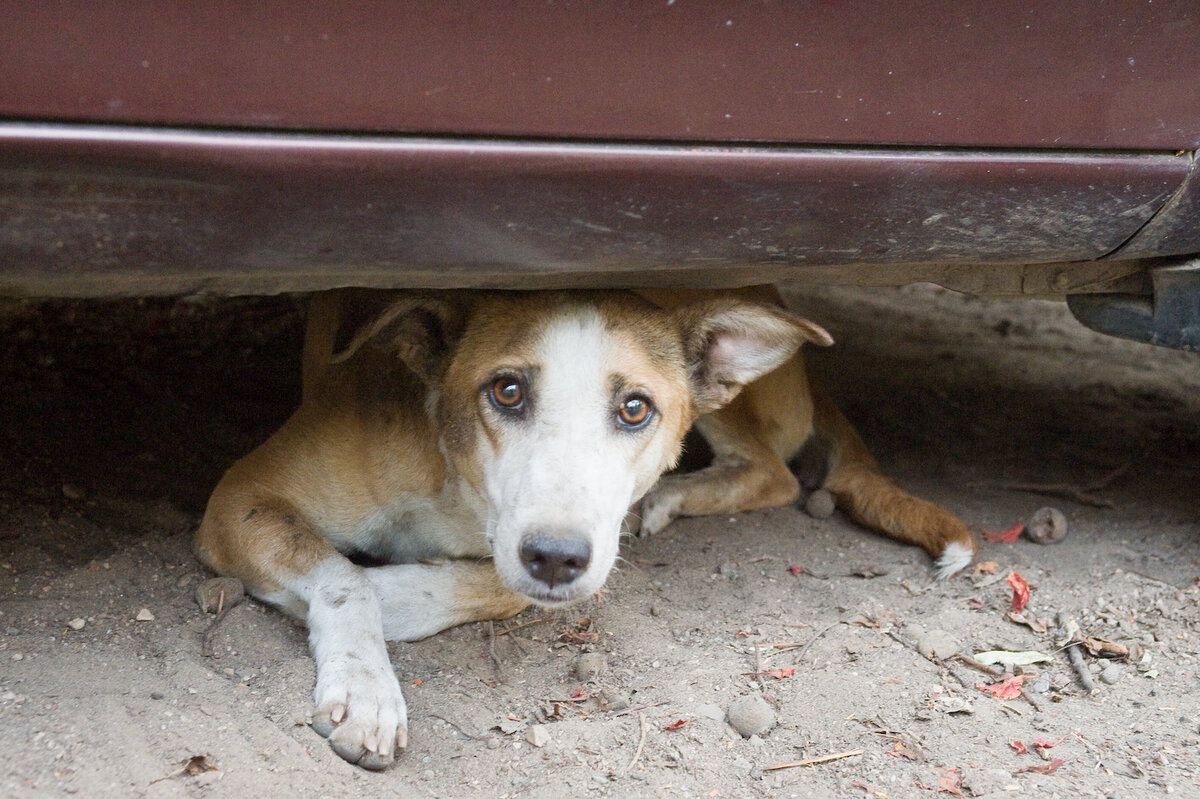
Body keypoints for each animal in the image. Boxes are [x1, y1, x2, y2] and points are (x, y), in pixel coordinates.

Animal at [189, 286, 974, 767]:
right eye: (506, 391)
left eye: (634, 408)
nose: (556, 557)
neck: (458, 488)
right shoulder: (240, 496)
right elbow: (343, 575)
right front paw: (366, 682)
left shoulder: (561, 553)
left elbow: (487, 585)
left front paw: (392, 599)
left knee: (774, 473)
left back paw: (666, 498)